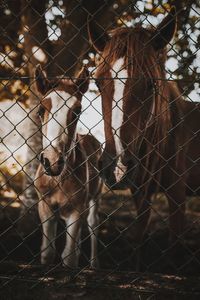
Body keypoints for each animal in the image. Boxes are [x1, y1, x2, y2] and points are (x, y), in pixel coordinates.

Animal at [34, 65, 101, 268]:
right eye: (40, 110)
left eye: (77, 111)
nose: (52, 161)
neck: (58, 179)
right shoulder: (45, 206)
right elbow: (47, 253)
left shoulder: (77, 209)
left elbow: (69, 257)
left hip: (95, 196)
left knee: (93, 224)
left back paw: (94, 265)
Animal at [88, 7, 200, 264]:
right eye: (97, 83)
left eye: (151, 84)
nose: (117, 168)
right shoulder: (140, 191)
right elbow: (139, 239)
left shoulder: (178, 197)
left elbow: (174, 248)